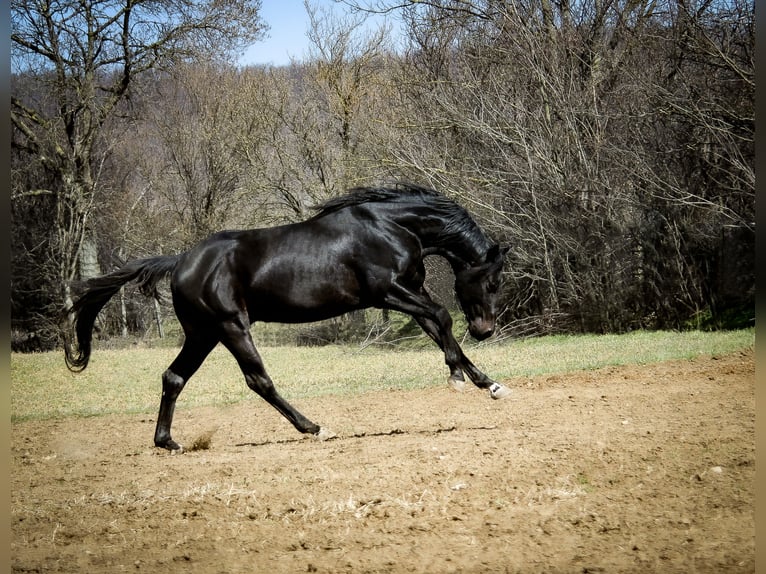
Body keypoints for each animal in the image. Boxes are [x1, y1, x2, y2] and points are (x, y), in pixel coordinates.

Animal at [64, 187, 510, 452]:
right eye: (491, 281)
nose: (485, 330)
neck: (391, 227)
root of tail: (181, 261)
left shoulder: (410, 293)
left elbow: (440, 329)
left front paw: (490, 385)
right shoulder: (388, 292)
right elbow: (443, 318)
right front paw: (458, 378)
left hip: (202, 334)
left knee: (174, 377)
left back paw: (168, 442)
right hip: (230, 327)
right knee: (258, 380)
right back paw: (313, 427)